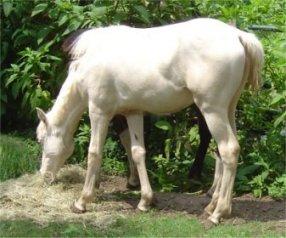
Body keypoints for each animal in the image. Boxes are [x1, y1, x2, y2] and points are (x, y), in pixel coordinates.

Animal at [35, 17, 264, 224]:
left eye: (41, 140)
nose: (43, 175)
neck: (91, 60)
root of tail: (237, 35)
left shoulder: (99, 113)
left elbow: (94, 153)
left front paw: (82, 201)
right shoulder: (133, 113)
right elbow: (138, 152)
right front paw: (145, 200)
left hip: (212, 111)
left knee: (228, 150)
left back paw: (218, 213)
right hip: (228, 110)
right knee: (225, 152)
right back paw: (214, 206)